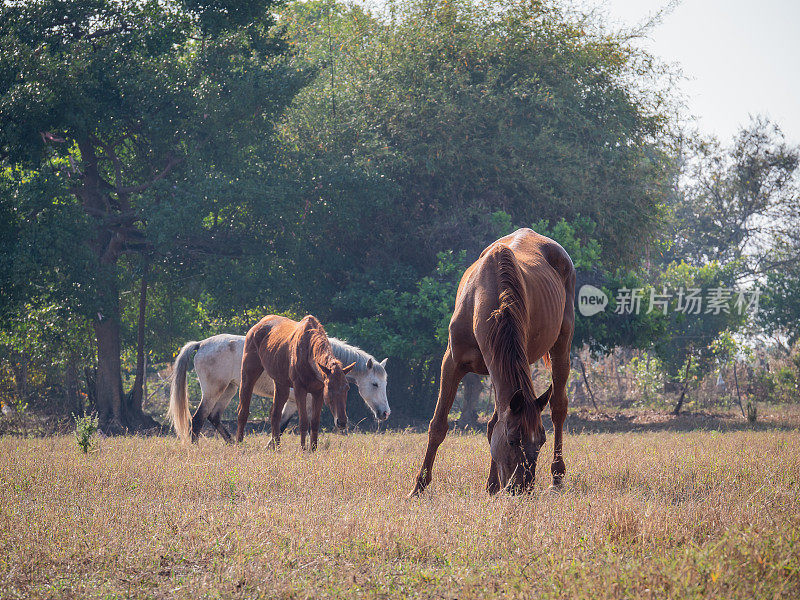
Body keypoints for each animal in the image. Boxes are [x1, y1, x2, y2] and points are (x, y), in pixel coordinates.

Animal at [167, 332, 390, 440]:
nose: (385, 413)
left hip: (229, 389)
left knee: (214, 417)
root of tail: (201, 344)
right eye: (375, 384)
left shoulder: (292, 403)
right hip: (213, 391)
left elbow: (281, 425)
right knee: (198, 419)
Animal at [234, 316, 354, 448]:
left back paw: (277, 448)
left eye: (347, 387)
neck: (309, 354)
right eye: (330, 387)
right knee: (243, 411)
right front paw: (303, 449)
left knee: (275, 415)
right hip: (248, 373)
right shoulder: (299, 388)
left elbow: (314, 423)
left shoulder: (318, 391)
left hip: (281, 383)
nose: (342, 422)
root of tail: (255, 326)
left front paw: (313, 449)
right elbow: (303, 422)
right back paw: (239, 444)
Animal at [412, 227, 576, 494]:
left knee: (558, 407)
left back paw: (557, 476)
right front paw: (419, 487)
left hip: (562, 345)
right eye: (512, 440)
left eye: (541, 441)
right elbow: (439, 425)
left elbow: (494, 422)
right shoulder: (452, 363)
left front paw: (492, 485)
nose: (523, 488)